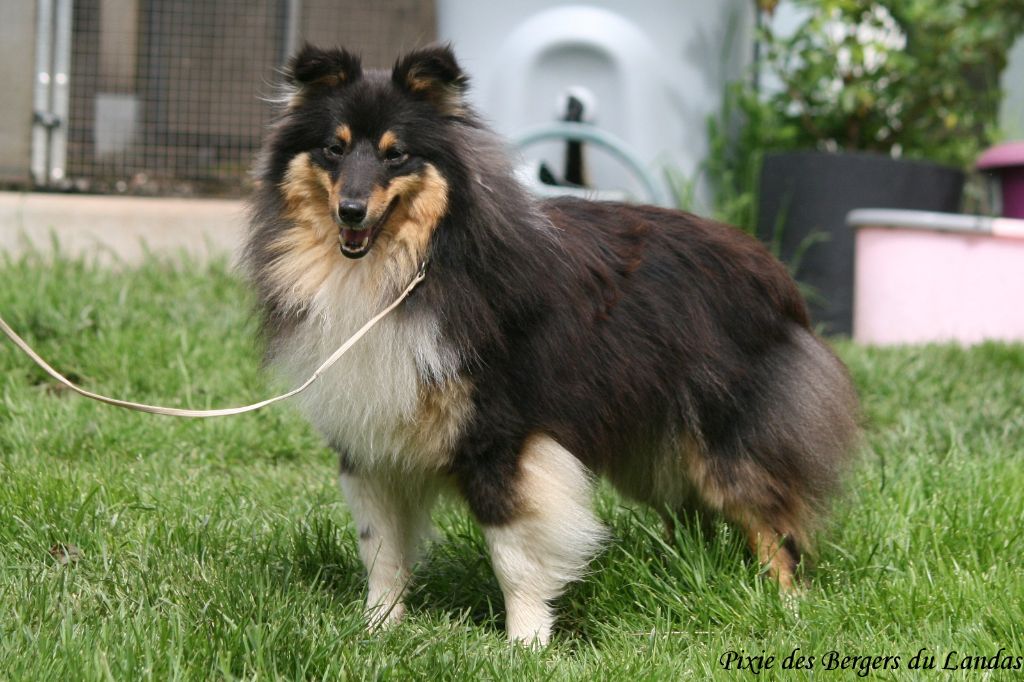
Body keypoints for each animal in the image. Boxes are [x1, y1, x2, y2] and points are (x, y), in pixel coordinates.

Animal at [242, 44, 859, 645]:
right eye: (333, 148)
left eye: (397, 155)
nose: (350, 212)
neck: (408, 269)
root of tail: (775, 272)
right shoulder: (370, 439)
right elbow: (381, 550)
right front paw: (374, 631)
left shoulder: (504, 436)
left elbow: (514, 555)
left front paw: (526, 645)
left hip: (727, 437)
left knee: (774, 520)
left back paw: (788, 609)